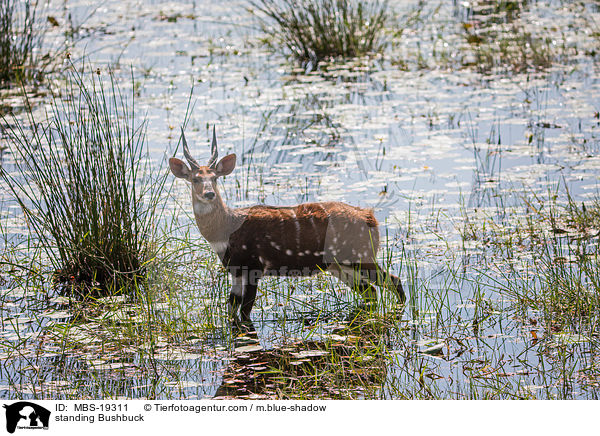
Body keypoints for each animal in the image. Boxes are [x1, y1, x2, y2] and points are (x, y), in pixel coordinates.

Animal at [166, 127, 406, 322]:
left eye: (215, 177)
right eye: (195, 179)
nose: (209, 193)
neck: (227, 230)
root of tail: (370, 217)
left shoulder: (254, 266)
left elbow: (245, 313)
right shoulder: (235, 270)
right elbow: (231, 309)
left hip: (360, 256)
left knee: (394, 281)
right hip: (339, 265)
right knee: (371, 291)